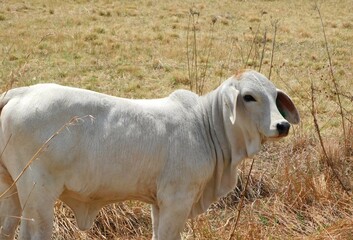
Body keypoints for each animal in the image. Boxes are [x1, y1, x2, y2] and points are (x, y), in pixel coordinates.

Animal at [0, 69, 298, 238]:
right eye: (249, 97)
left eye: (274, 96)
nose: (282, 125)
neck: (205, 124)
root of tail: (19, 93)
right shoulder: (177, 200)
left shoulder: (159, 203)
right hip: (38, 197)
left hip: (12, 191)